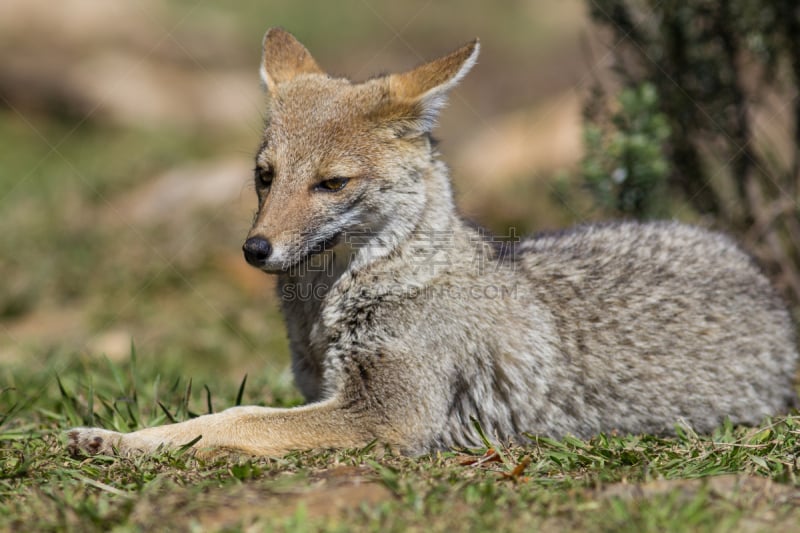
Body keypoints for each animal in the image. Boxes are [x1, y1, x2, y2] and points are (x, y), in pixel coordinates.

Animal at [65, 27, 796, 456]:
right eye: (264, 177)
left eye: (332, 183)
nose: (256, 249)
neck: (331, 312)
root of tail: (760, 277)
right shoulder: (329, 393)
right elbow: (229, 414)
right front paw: (114, 435)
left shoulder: (388, 417)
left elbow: (235, 419)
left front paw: (126, 442)